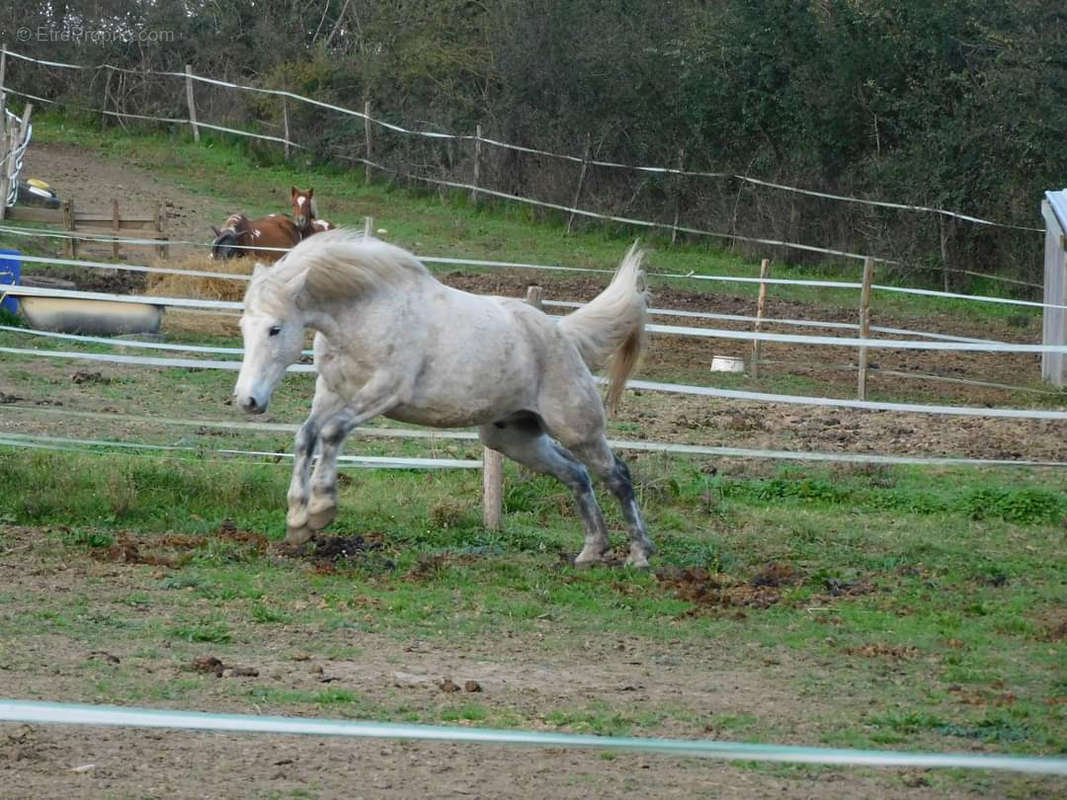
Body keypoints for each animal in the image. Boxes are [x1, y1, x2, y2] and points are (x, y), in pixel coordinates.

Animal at [232, 228, 648, 571]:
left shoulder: (383, 391)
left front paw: (321, 509)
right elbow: (306, 437)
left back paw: (639, 555)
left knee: (618, 476)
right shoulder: (332, 391)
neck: (367, 311)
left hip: (578, 429)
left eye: (275, 329)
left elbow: (332, 433)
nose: (247, 400)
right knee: (576, 474)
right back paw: (592, 550)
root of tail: (564, 334)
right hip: (513, 438)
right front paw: (297, 522)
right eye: (243, 326)